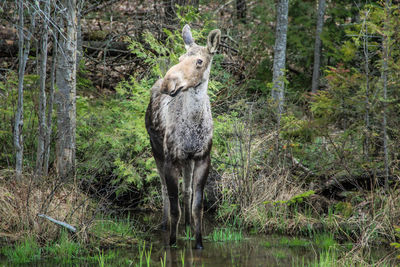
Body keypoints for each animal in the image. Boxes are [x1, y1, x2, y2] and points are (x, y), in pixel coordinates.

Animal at [145, 24, 220, 250]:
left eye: (199, 61)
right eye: (179, 58)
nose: (168, 84)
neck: (193, 124)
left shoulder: (203, 158)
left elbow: (197, 206)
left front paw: (198, 242)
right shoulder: (171, 158)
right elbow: (174, 206)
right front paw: (172, 241)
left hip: (187, 160)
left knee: (186, 190)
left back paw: (187, 224)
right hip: (156, 150)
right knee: (163, 189)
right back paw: (164, 224)